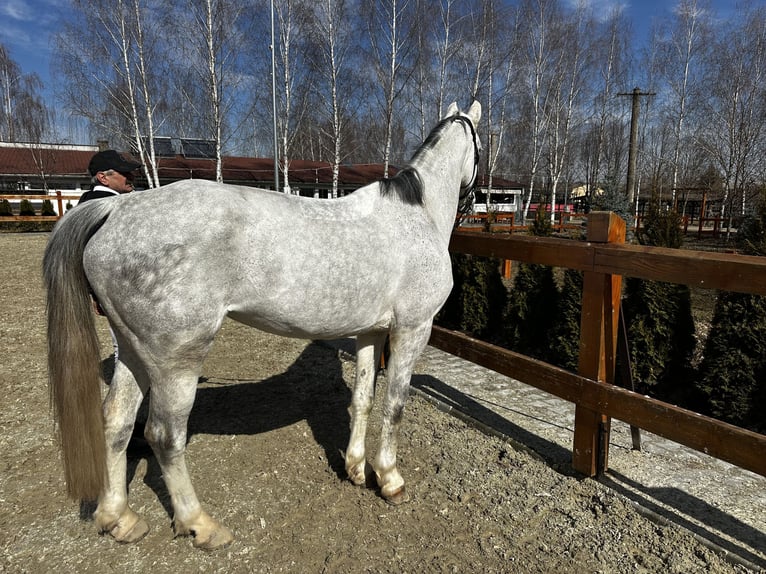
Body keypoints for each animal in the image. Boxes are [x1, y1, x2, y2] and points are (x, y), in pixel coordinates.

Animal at [43, 101, 480, 552]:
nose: (475, 199)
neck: (416, 215)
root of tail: (117, 210)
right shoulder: (413, 330)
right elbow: (395, 406)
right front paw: (390, 480)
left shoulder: (370, 333)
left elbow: (363, 399)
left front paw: (357, 469)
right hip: (175, 360)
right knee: (164, 435)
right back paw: (200, 524)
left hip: (132, 351)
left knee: (116, 422)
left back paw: (119, 518)